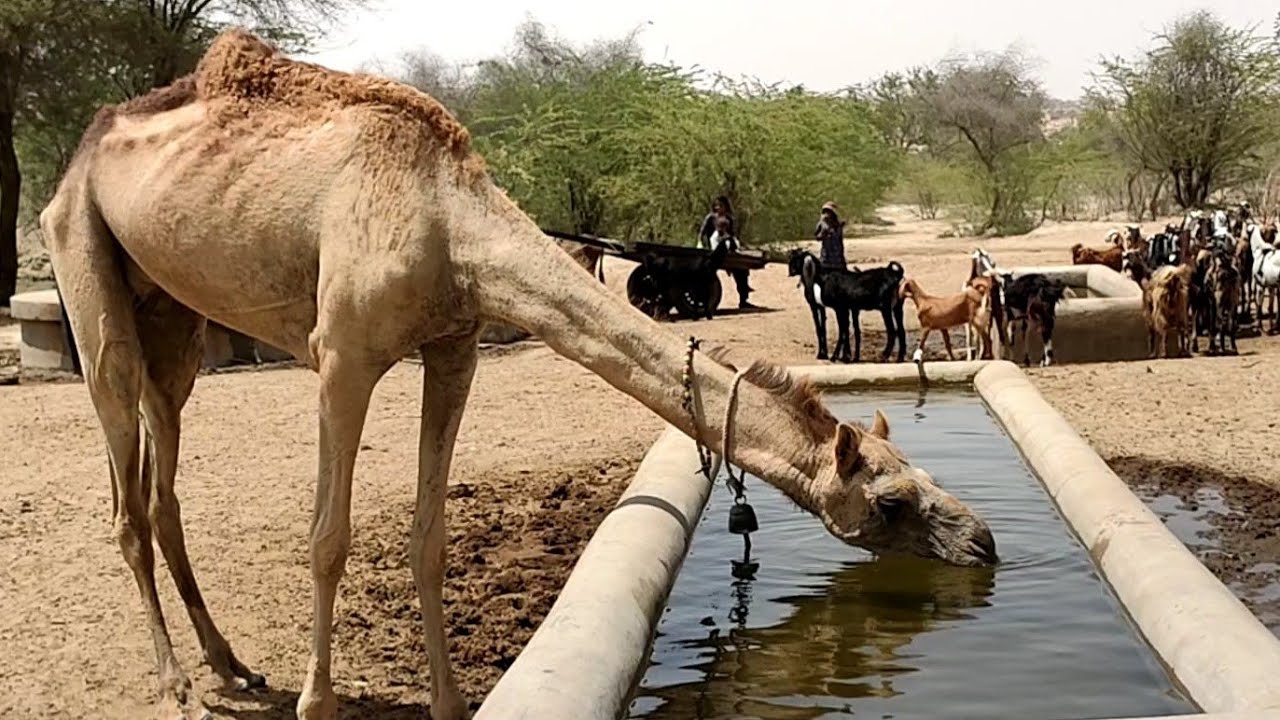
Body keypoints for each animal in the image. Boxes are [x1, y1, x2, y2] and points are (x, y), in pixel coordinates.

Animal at [39, 30, 996, 720]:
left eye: (922, 474)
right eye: (892, 499)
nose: (983, 542)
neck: (450, 223)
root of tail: (83, 147)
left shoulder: (455, 349)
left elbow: (428, 538)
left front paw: (448, 702)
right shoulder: (342, 354)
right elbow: (327, 536)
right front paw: (318, 702)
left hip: (175, 315)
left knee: (163, 475)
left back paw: (232, 666)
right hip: (82, 258)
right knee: (124, 481)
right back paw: (177, 682)